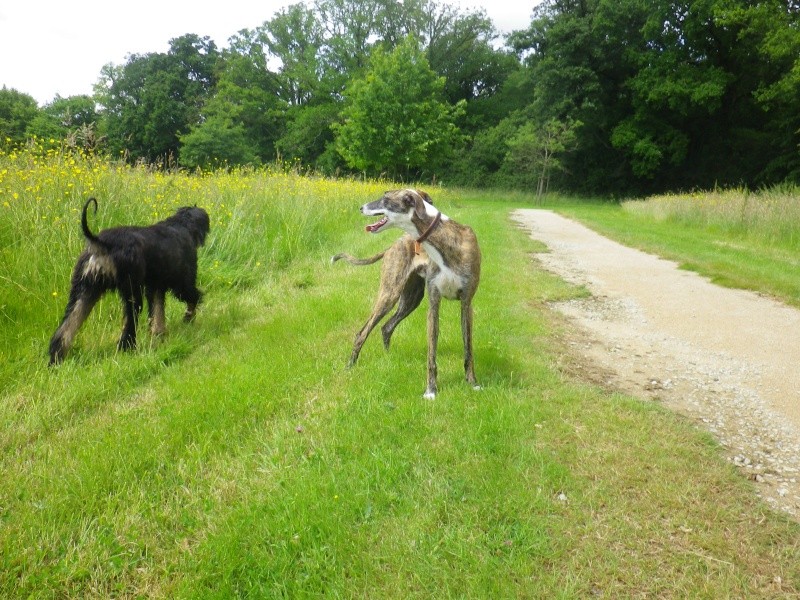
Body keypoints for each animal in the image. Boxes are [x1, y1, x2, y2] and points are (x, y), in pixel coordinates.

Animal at [46, 199, 209, 364]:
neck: (180, 225)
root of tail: (101, 244)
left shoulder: (155, 286)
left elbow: (157, 313)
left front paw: (159, 334)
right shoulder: (181, 282)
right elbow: (193, 297)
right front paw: (188, 318)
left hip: (84, 290)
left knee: (66, 327)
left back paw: (56, 358)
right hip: (131, 289)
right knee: (129, 323)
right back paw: (128, 348)